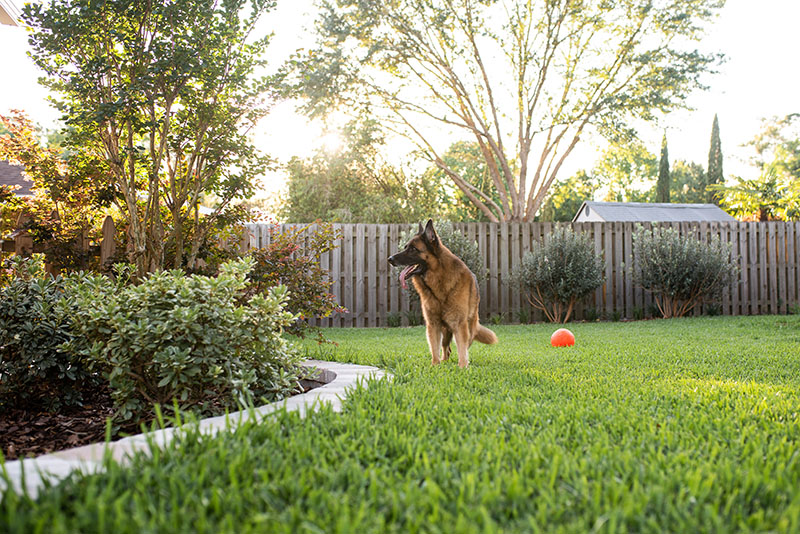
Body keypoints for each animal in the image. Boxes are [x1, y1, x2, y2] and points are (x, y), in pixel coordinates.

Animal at [386, 221, 494, 368]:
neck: (438, 280)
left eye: (413, 249)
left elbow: (462, 349)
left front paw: (463, 367)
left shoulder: (459, 324)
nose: (389, 259)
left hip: (469, 328)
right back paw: (444, 361)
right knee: (446, 348)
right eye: (405, 247)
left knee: (463, 345)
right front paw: (435, 366)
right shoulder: (433, 325)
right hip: (445, 330)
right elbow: (434, 349)